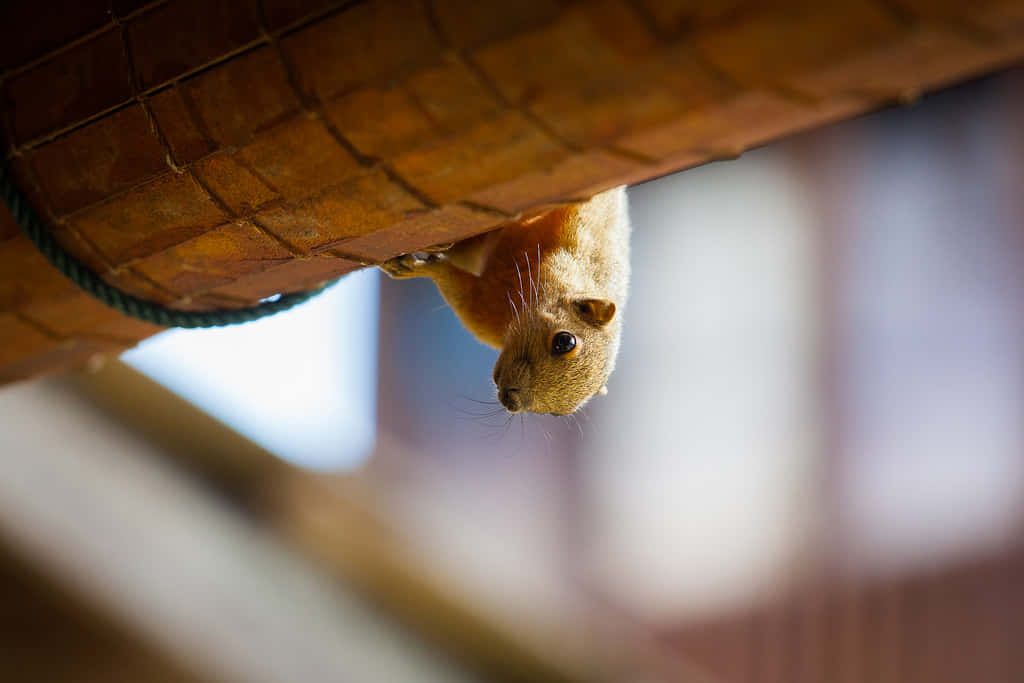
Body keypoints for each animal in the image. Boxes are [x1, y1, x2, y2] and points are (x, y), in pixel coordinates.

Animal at [379, 186, 630, 415]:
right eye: (565, 342)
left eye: (557, 414)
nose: (511, 403)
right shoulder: (580, 228)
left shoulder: (481, 308)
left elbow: (458, 290)